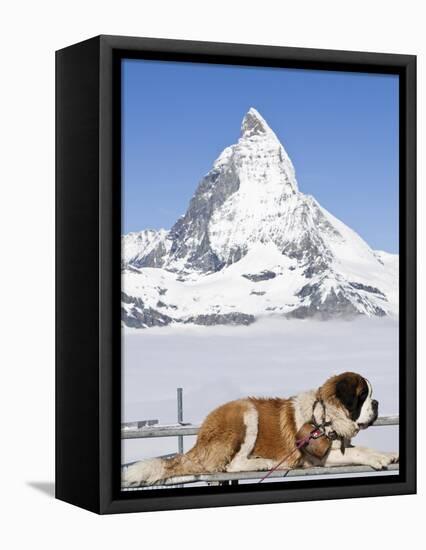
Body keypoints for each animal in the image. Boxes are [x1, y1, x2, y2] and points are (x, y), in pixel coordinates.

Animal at [124, 374, 400, 486]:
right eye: (363, 396)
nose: (377, 403)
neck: (325, 416)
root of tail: (200, 438)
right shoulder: (314, 457)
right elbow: (357, 451)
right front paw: (379, 458)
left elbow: (358, 447)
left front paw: (387, 454)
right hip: (246, 413)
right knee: (231, 464)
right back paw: (263, 462)